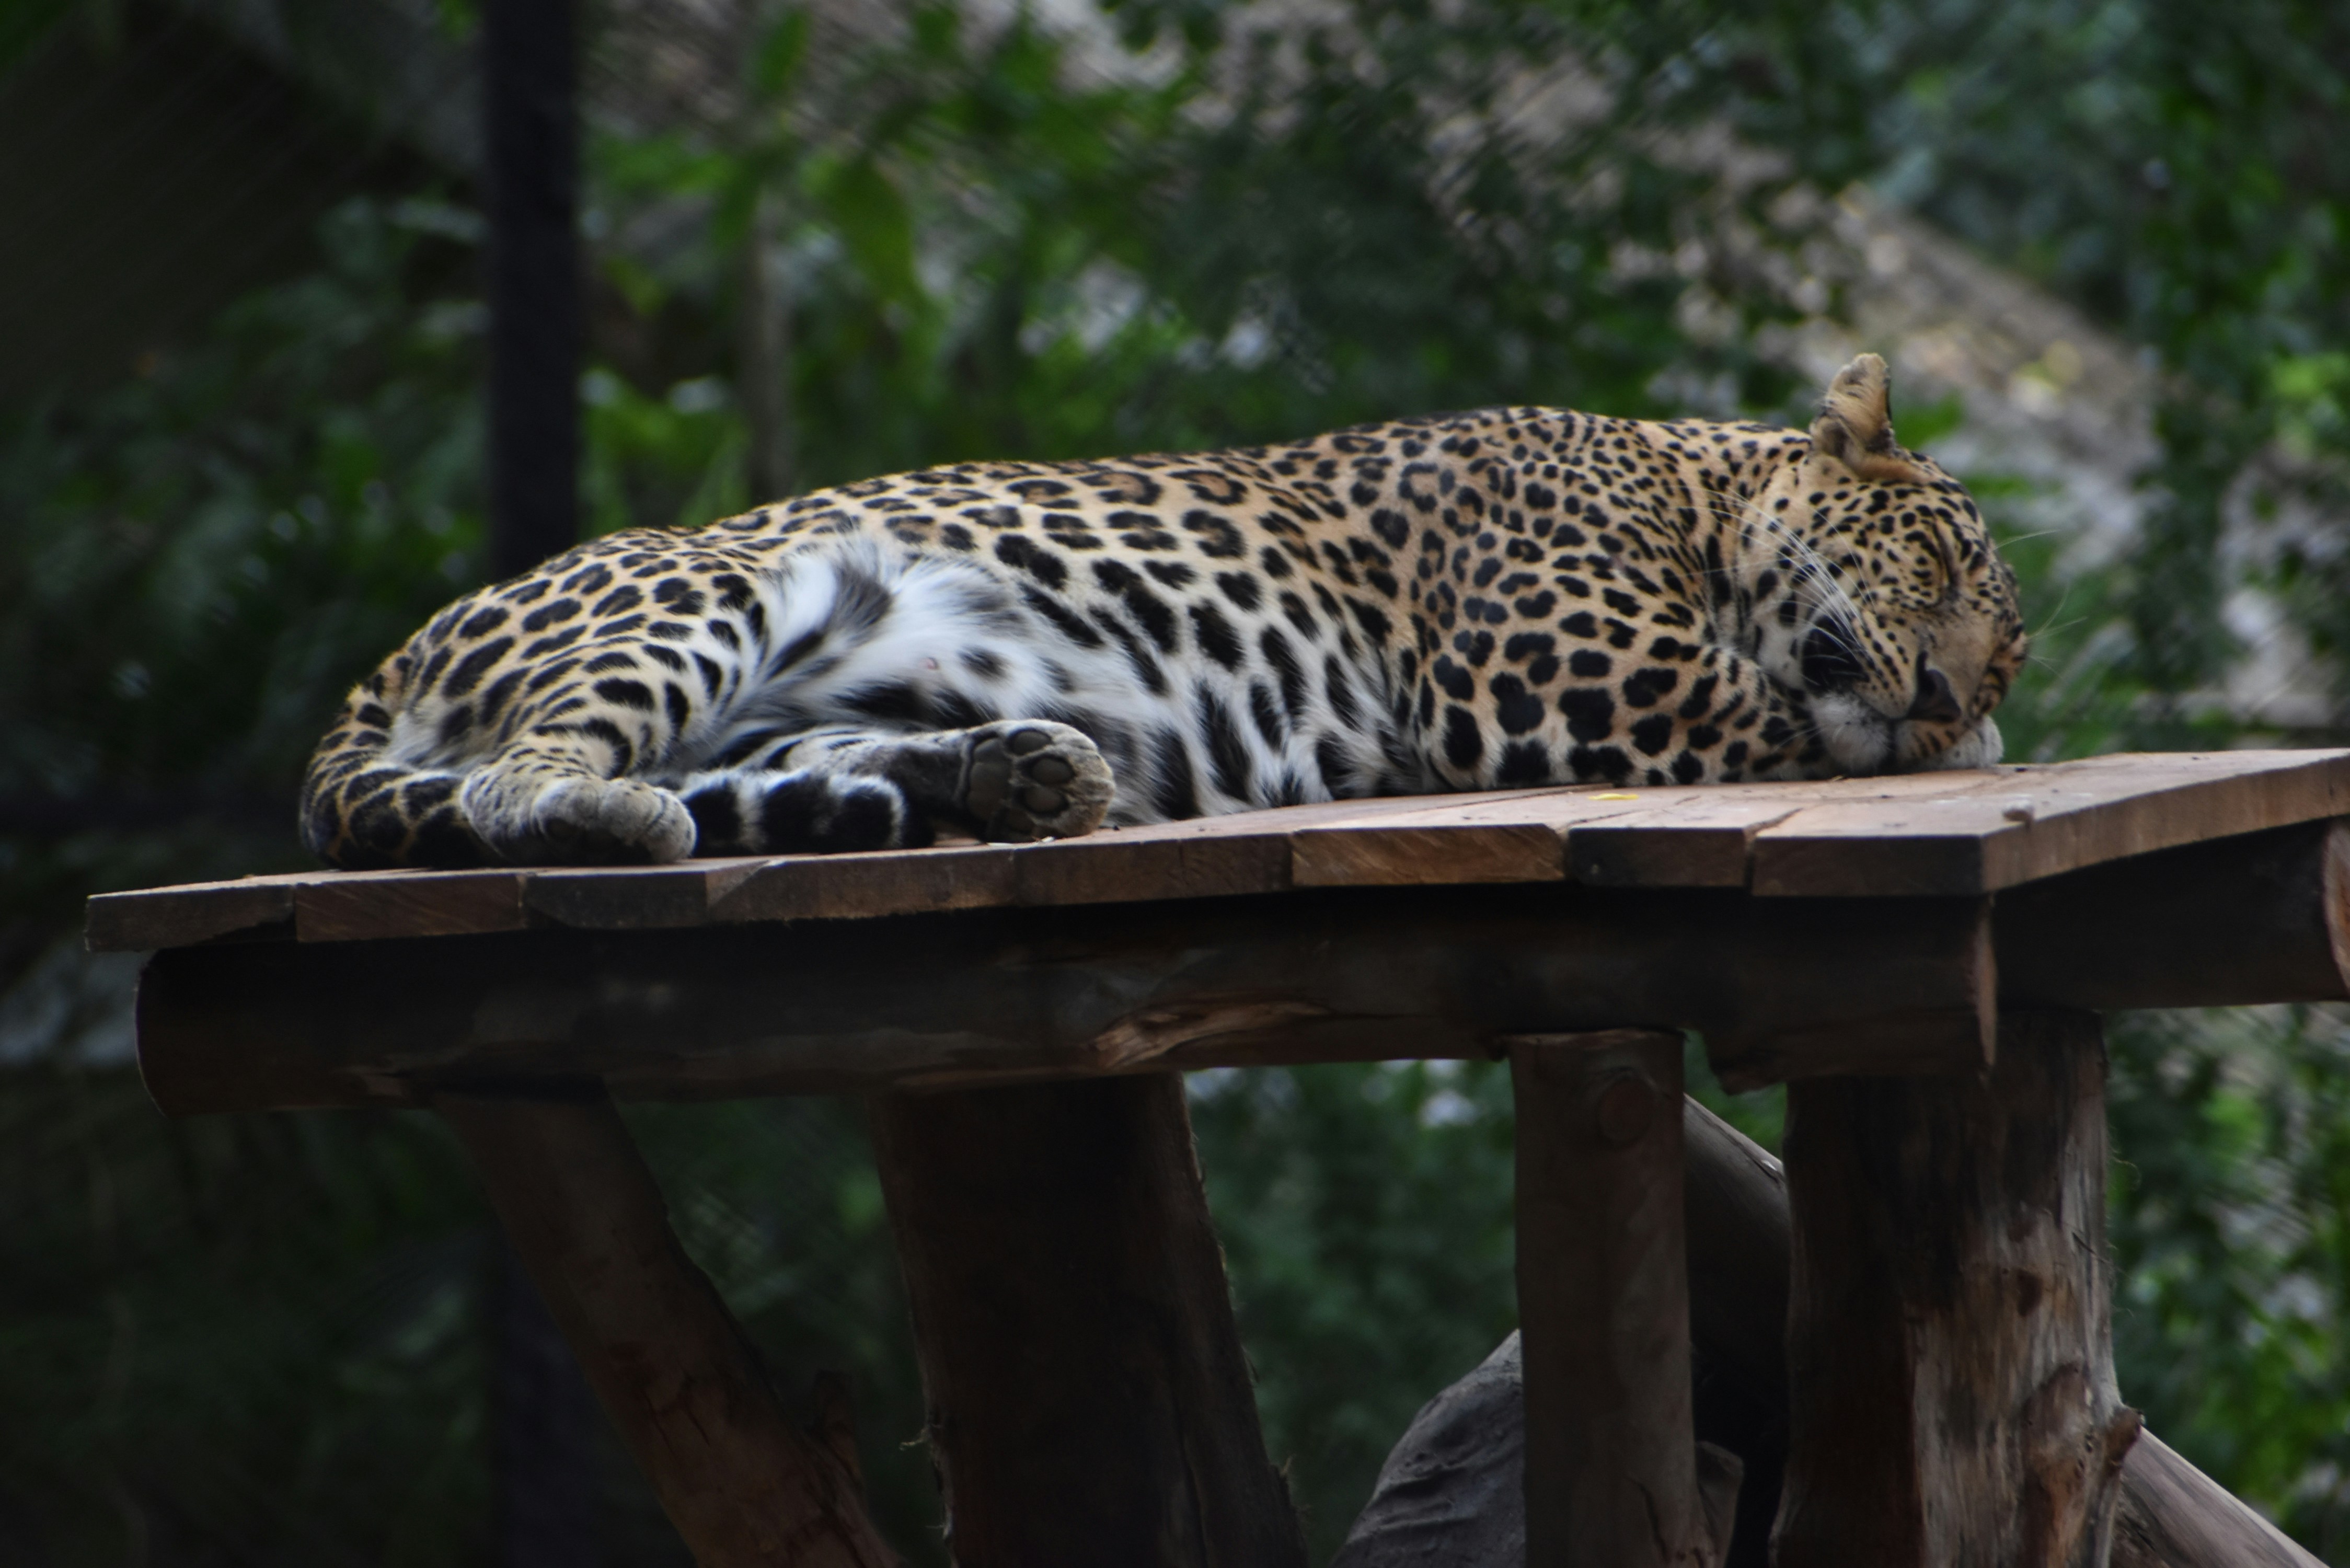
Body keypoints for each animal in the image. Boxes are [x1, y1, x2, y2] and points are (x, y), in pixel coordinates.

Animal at [300, 353, 2025, 870]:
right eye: (1936, 572)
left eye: (1994, 647)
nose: (1952, 690)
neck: (1687, 482)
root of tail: (382, 667)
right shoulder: (1559, 668)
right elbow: (1784, 707)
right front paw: (1952, 753)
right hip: (703, 592)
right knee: (522, 776)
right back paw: (611, 818)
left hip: (799, 700)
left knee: (762, 772)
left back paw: (1016, 776)